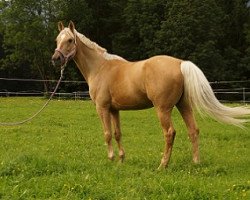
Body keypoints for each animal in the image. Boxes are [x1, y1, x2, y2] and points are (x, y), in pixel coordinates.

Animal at [51, 21, 249, 169]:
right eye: (57, 39)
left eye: (70, 40)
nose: (55, 59)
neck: (100, 67)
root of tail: (180, 63)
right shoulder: (115, 110)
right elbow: (117, 133)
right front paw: (121, 159)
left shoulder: (103, 108)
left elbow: (107, 134)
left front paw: (111, 158)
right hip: (184, 105)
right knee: (193, 130)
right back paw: (196, 162)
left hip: (163, 109)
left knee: (169, 133)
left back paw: (162, 165)